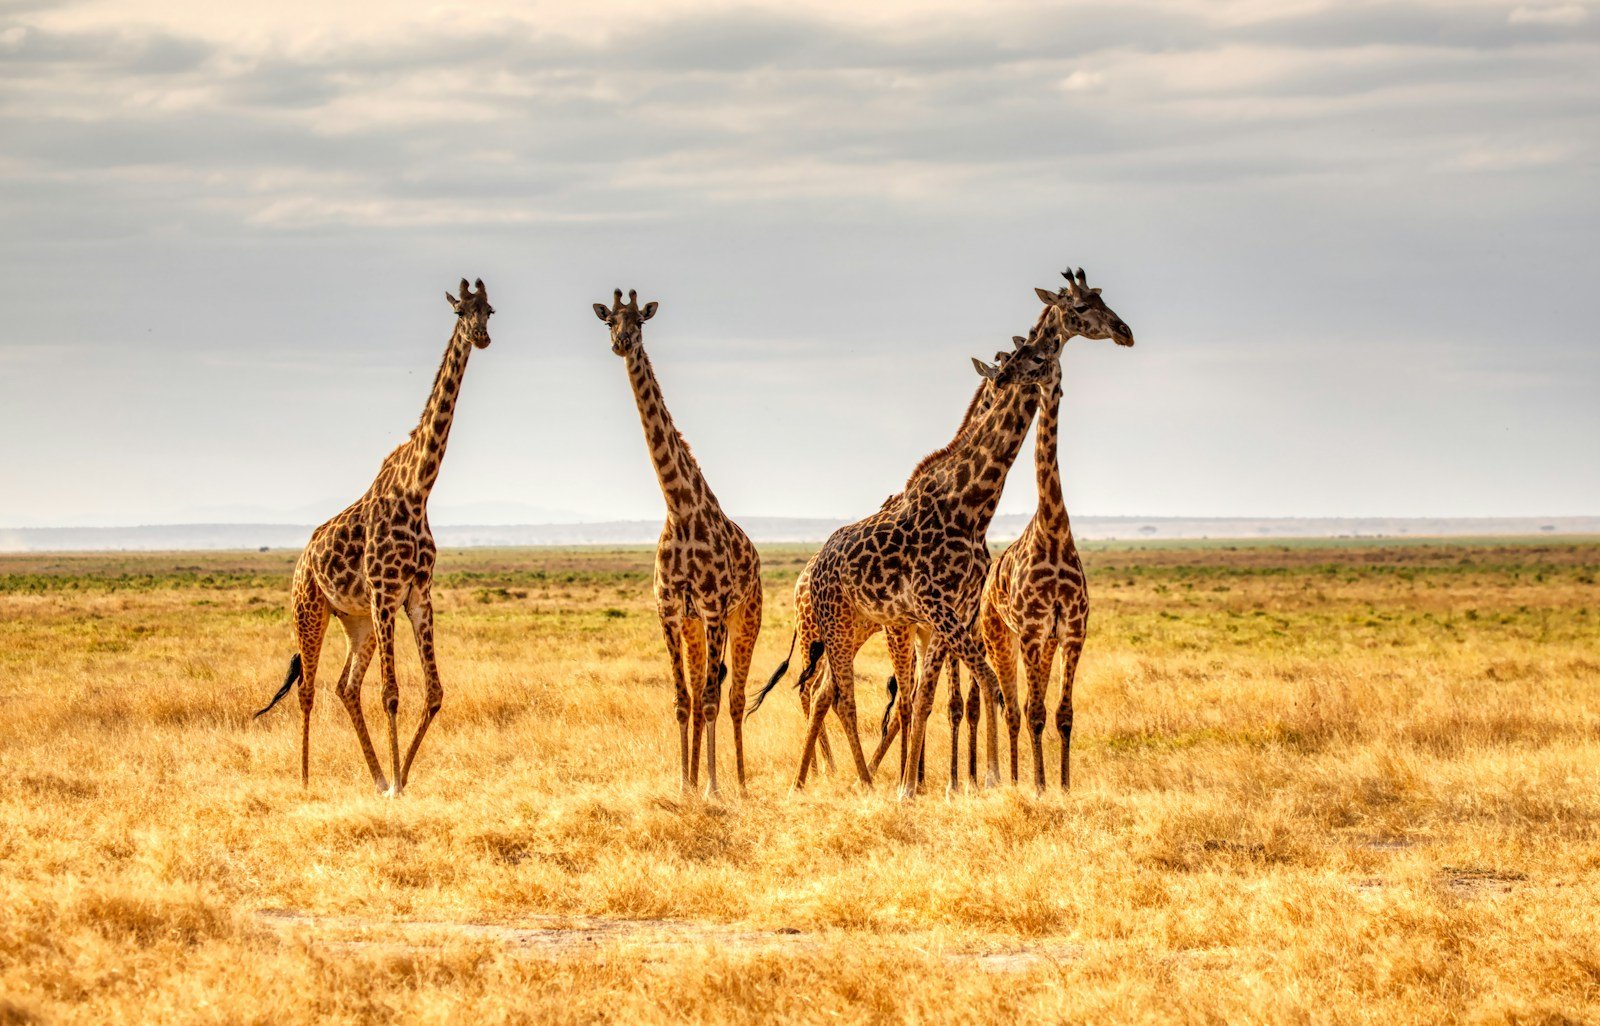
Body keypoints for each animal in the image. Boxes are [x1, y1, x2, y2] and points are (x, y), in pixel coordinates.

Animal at [254, 278, 494, 795]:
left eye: (489, 310)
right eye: (460, 312)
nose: (482, 337)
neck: (418, 488)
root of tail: (301, 560)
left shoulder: (417, 594)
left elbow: (434, 692)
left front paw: (398, 779)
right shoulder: (386, 593)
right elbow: (391, 693)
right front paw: (399, 786)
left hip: (357, 620)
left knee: (345, 686)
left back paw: (376, 775)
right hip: (310, 609)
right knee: (307, 689)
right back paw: (305, 780)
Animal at [594, 289, 762, 798]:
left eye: (640, 322)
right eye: (609, 320)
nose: (621, 343)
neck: (680, 509)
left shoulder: (713, 610)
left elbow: (708, 699)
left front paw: (711, 788)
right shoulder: (670, 612)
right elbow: (682, 699)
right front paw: (684, 785)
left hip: (745, 618)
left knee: (734, 696)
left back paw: (740, 783)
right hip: (694, 627)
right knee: (706, 690)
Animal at [788, 310, 1067, 799]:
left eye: (1031, 357)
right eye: (1017, 359)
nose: (1028, 379)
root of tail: (810, 571)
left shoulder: (948, 616)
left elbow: (933, 697)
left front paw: (933, 781)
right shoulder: (925, 615)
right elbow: (945, 693)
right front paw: (955, 780)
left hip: (850, 628)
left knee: (825, 692)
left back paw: (825, 779)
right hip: (832, 629)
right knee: (833, 695)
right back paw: (848, 779)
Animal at [980, 267, 1134, 791]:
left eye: (1040, 355)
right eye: (1081, 305)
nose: (1126, 332)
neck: (1053, 529)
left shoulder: (1071, 631)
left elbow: (1064, 714)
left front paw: (1063, 786)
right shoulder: (1030, 631)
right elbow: (1033, 712)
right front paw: (1040, 785)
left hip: (1040, 643)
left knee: (1027, 706)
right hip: (1000, 637)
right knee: (1011, 708)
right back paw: (1011, 778)